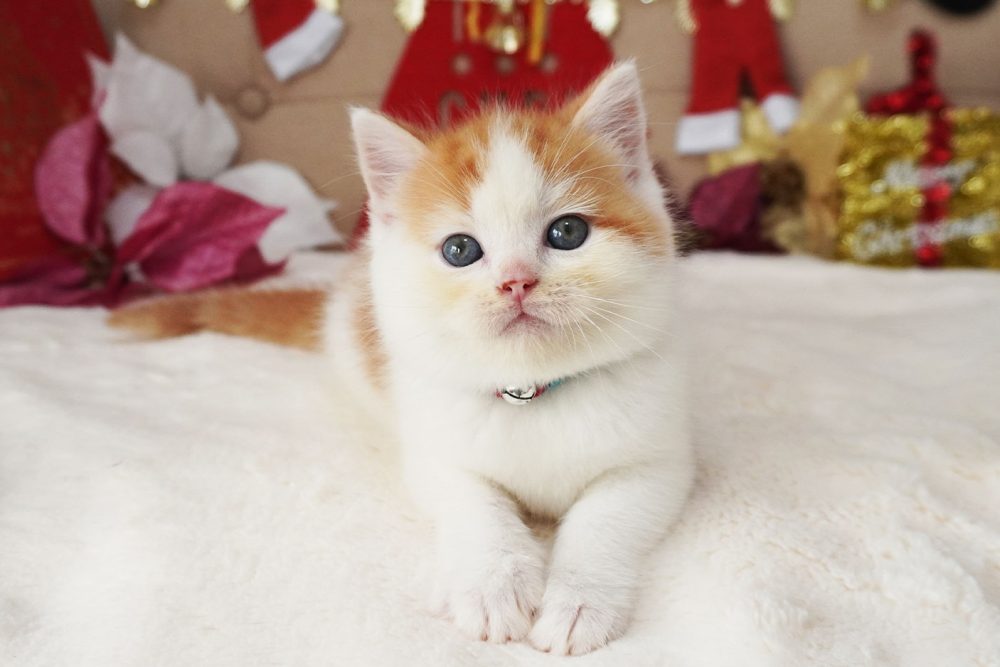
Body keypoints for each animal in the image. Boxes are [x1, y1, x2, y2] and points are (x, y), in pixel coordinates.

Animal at [110, 62, 694, 656]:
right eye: (460, 250)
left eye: (568, 231)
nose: (516, 281)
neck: (532, 390)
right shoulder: (435, 451)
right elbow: (475, 506)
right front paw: (493, 587)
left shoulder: (660, 462)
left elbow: (606, 520)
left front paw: (580, 603)